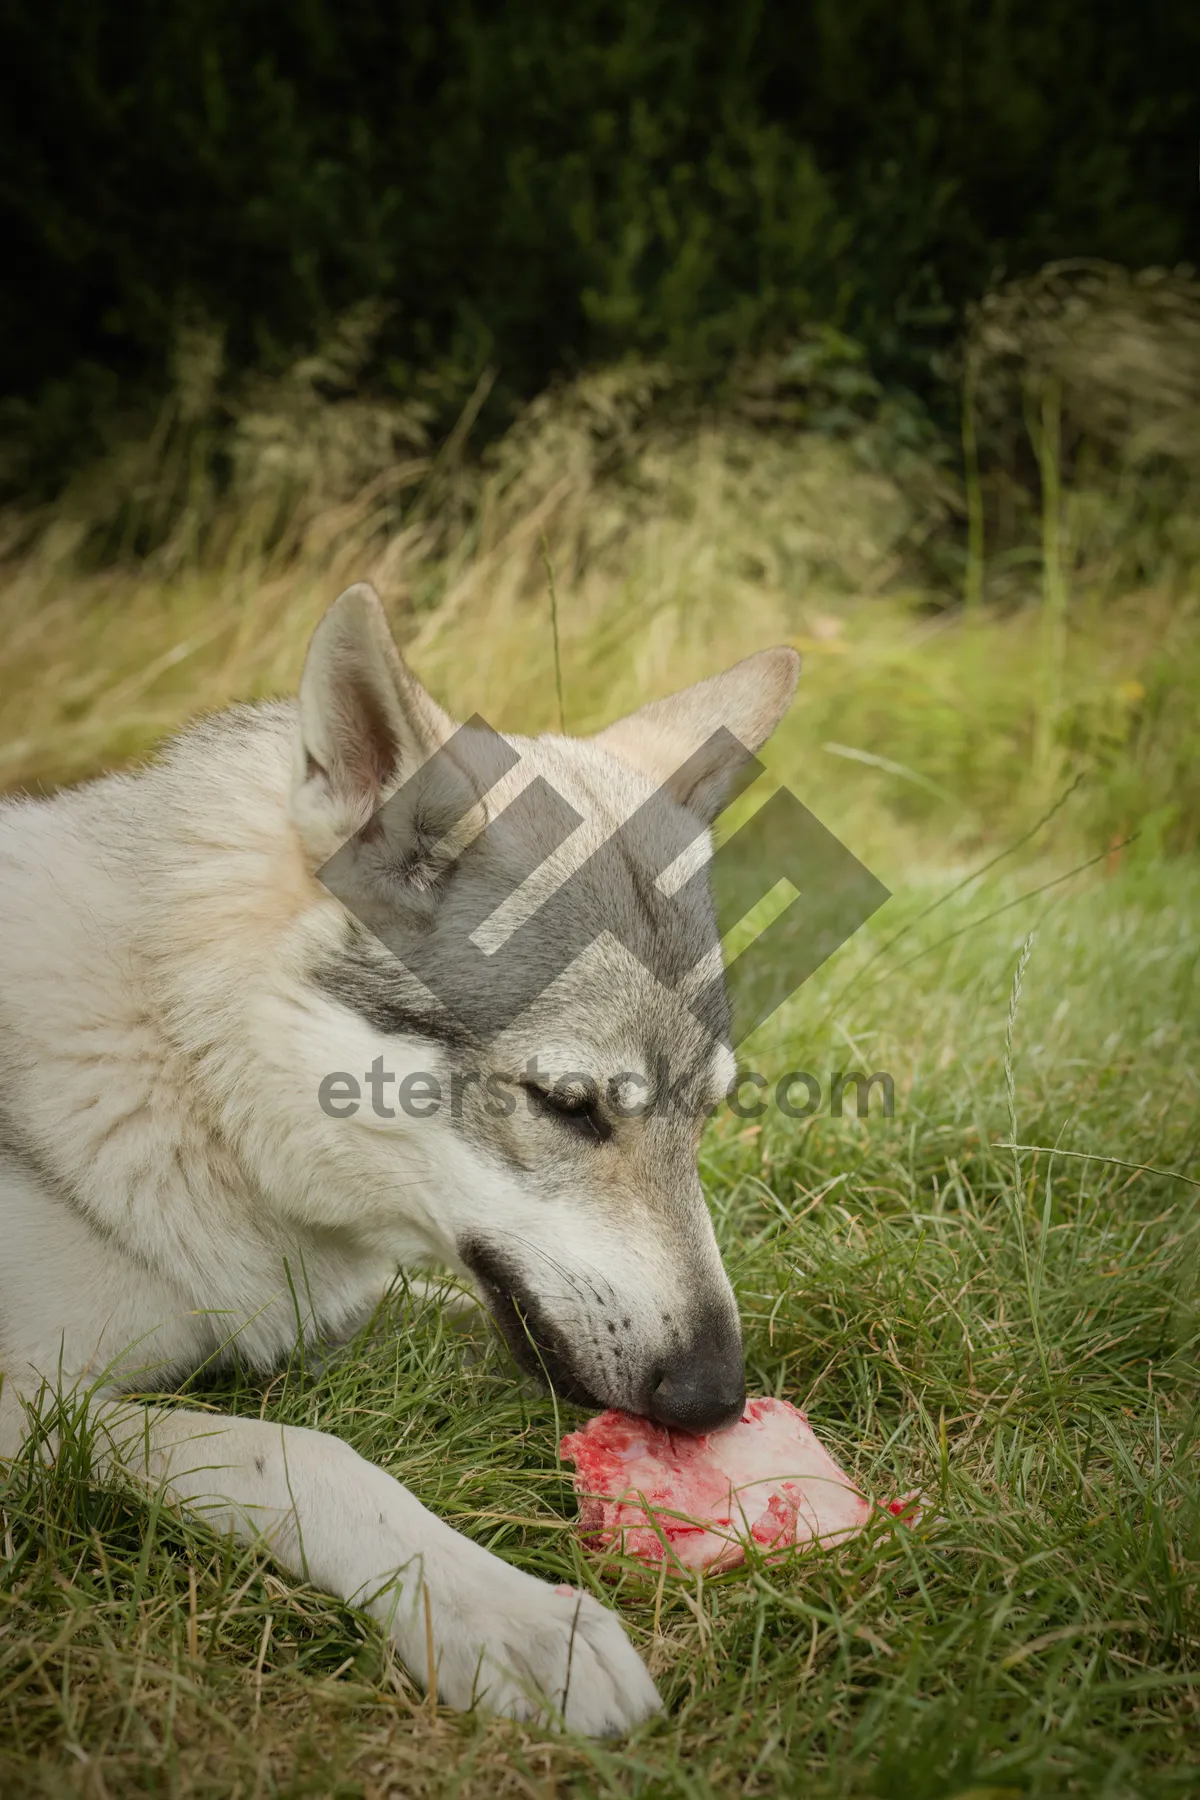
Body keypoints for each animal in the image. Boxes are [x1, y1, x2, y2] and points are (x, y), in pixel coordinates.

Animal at [2, 583, 805, 1735]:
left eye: (708, 1114)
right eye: (569, 1106)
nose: (714, 1399)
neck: (186, 1069)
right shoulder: (39, 1407)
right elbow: (304, 1454)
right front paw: (513, 1618)